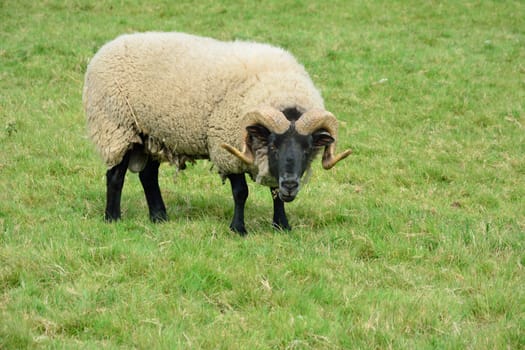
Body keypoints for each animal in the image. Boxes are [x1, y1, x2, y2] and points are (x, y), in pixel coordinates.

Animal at [83, 31, 352, 235]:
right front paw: (238, 229)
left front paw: (281, 226)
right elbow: (241, 192)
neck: (280, 93)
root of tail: (108, 46)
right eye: (274, 146)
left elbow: (275, 193)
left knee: (148, 176)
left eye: (307, 149)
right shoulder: (227, 148)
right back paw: (113, 218)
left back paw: (159, 216)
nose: (291, 185)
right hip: (117, 128)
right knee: (115, 176)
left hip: (153, 135)